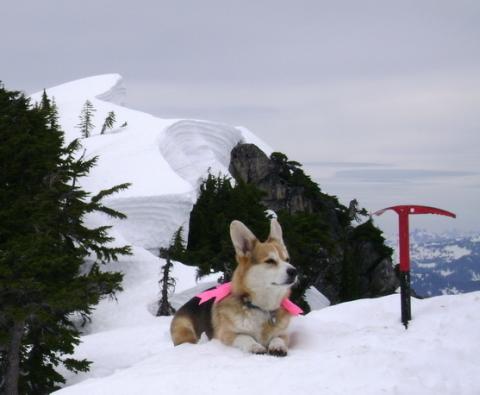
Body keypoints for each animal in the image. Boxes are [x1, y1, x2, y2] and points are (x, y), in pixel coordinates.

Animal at [171, 218, 298, 358]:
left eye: (287, 259)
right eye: (270, 261)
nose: (294, 271)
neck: (261, 308)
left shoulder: (283, 334)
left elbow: (278, 338)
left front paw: (277, 346)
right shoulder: (227, 334)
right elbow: (245, 337)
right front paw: (255, 346)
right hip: (185, 330)